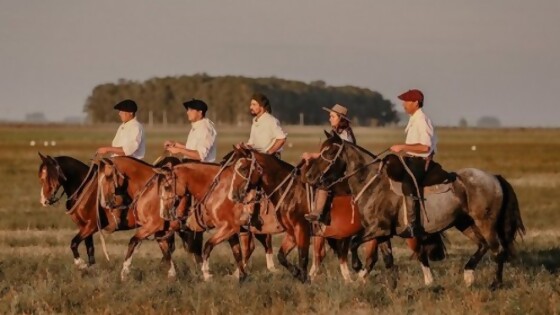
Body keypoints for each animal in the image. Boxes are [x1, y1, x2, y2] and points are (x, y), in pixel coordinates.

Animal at [302, 131, 524, 288]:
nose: (310, 176)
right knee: (483, 246)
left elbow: (355, 243)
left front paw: (357, 268)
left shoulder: (377, 229)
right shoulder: (383, 234)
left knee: (497, 250)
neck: (372, 183)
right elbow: (387, 259)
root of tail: (494, 177)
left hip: (485, 223)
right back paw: (468, 275)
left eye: (330, 152)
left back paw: (495, 284)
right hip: (465, 223)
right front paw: (392, 285)